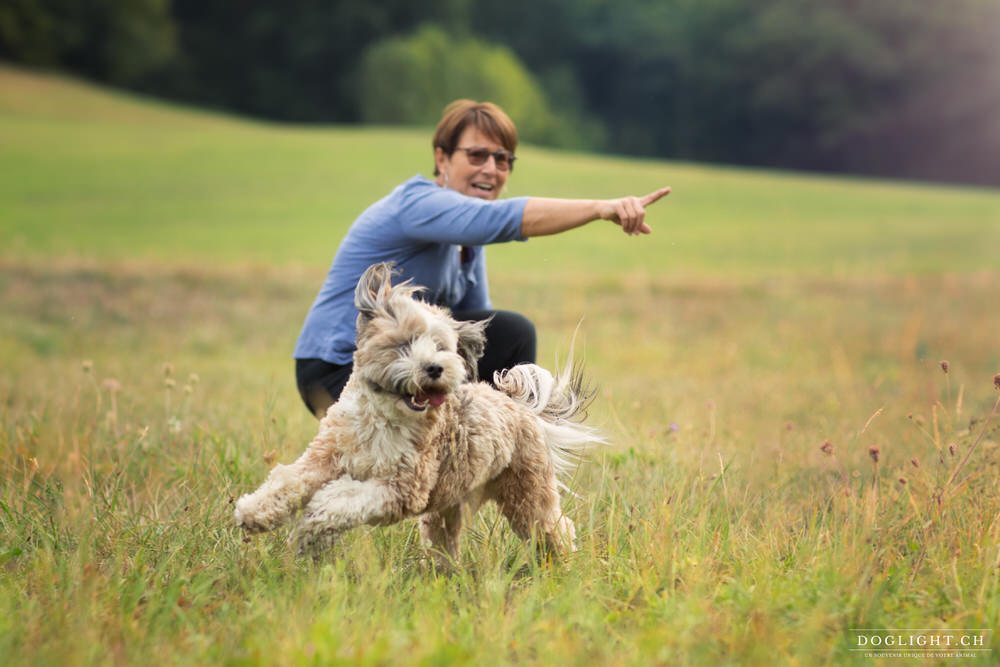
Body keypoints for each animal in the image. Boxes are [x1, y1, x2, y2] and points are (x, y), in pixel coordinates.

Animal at [234, 264, 600, 560]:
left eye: (440, 347)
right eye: (405, 343)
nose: (434, 368)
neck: (383, 418)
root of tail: (519, 407)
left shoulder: (402, 488)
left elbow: (341, 500)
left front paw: (316, 518)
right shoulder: (326, 457)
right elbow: (289, 480)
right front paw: (253, 512)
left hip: (527, 495)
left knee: (554, 528)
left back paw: (562, 566)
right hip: (447, 506)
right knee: (444, 540)